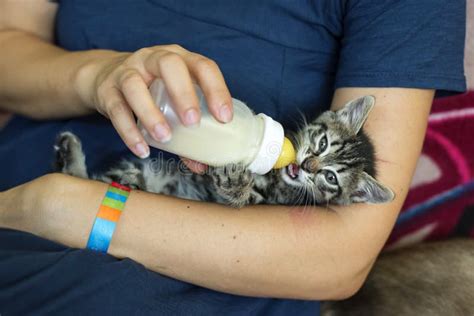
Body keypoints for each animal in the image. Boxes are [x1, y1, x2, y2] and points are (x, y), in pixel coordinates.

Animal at [53, 95, 394, 209]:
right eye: (322, 144)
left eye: (330, 178)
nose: (309, 164)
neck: (277, 178)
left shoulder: (259, 202)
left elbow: (237, 198)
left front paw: (235, 183)